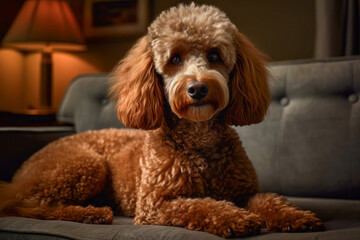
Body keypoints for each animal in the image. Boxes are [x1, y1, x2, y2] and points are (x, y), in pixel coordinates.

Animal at [0, 3, 324, 238]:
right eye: (175, 59)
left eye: (214, 55)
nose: (197, 88)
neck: (199, 139)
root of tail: (17, 177)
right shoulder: (155, 204)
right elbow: (200, 205)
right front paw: (234, 217)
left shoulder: (245, 191)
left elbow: (267, 199)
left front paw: (293, 215)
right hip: (85, 166)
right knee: (26, 207)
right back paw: (90, 214)